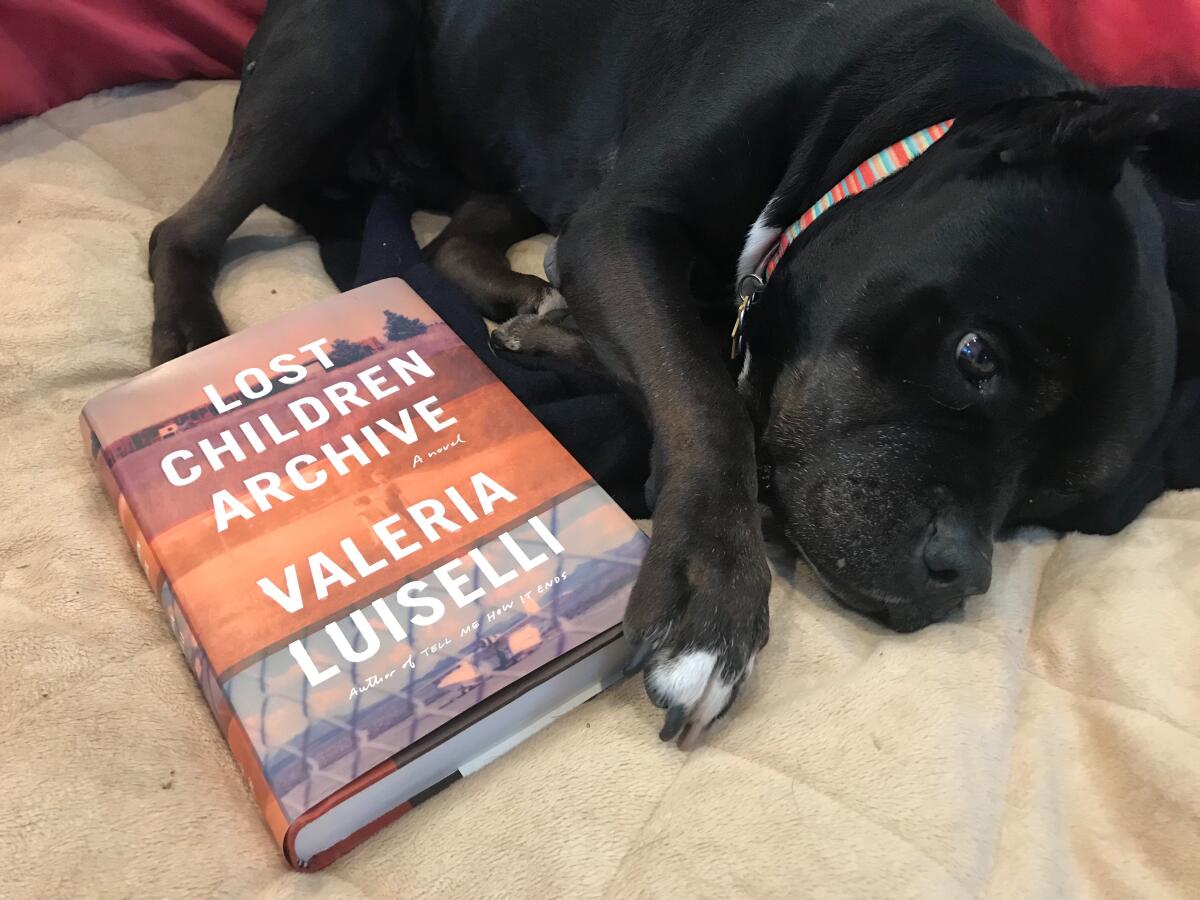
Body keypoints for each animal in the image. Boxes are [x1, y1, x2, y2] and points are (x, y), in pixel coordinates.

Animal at [150, 0, 1200, 748]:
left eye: (1052, 505)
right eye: (974, 355)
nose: (960, 573)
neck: (893, 117)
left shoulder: (613, 237)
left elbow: (712, 366)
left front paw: (556, 336)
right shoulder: (626, 228)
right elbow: (704, 393)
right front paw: (713, 597)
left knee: (455, 243)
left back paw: (528, 304)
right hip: (337, 57)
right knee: (186, 227)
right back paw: (190, 332)